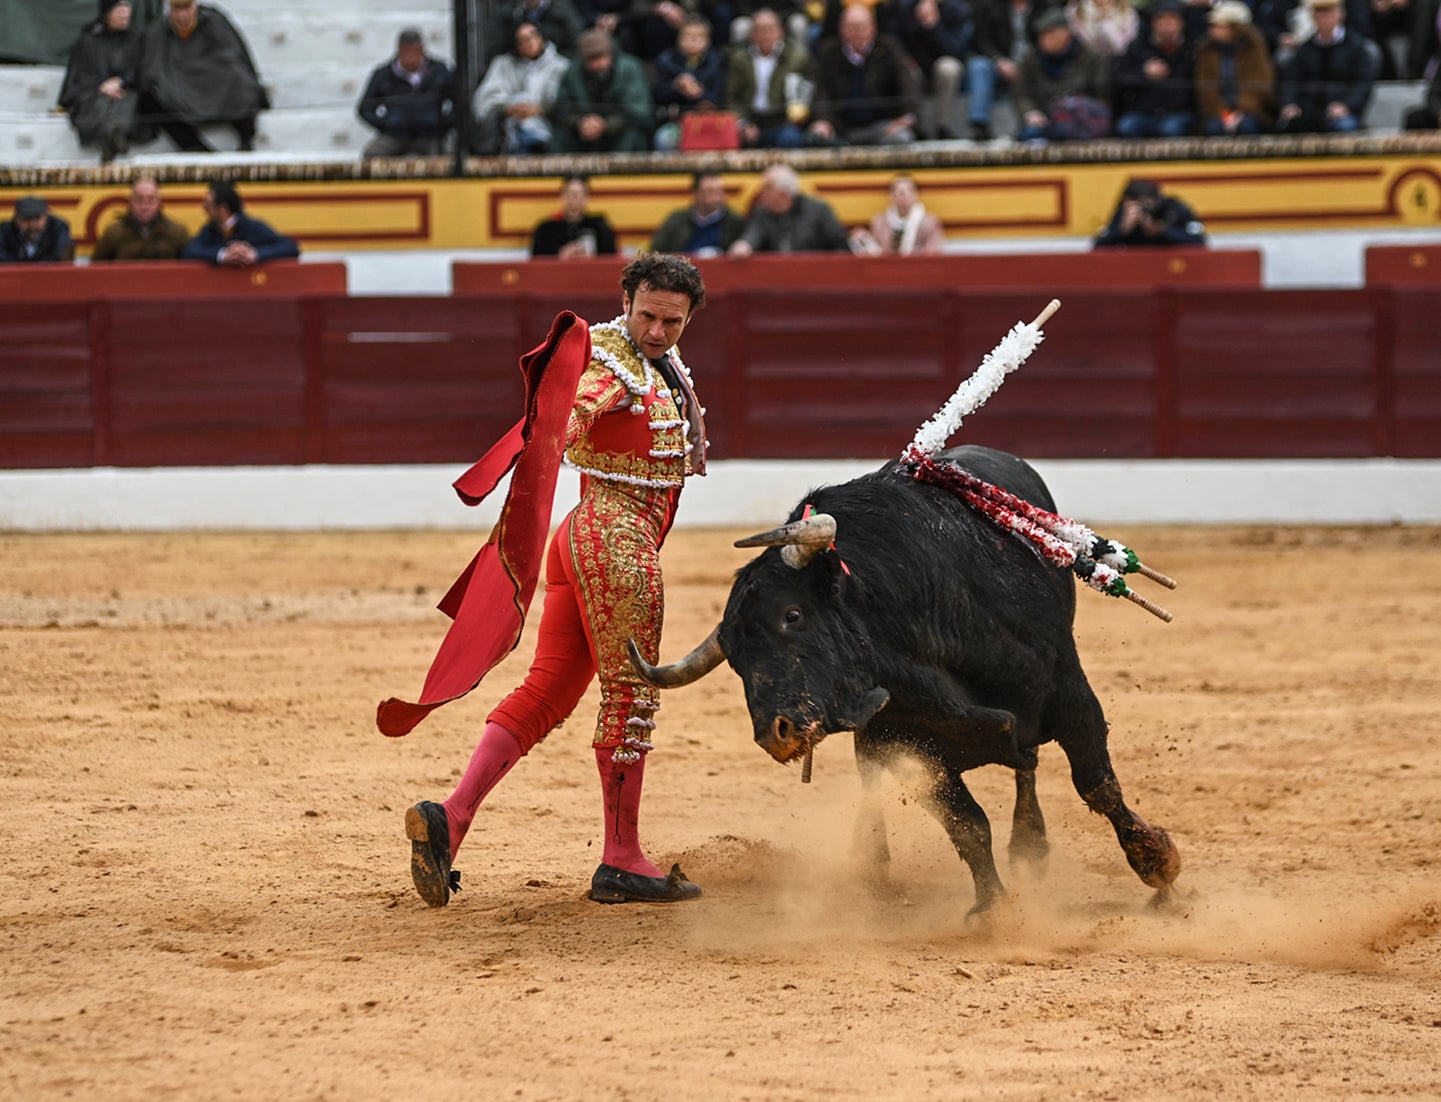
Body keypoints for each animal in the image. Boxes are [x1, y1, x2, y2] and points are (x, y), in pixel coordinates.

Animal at [631, 440, 1181, 910]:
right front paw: (991, 908)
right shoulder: (914, 741)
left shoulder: (1070, 693)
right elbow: (967, 823)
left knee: (1029, 765)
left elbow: (1098, 785)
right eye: (736, 658)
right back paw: (875, 865)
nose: (775, 733)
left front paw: (1159, 868)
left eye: (793, 615)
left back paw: (1030, 844)